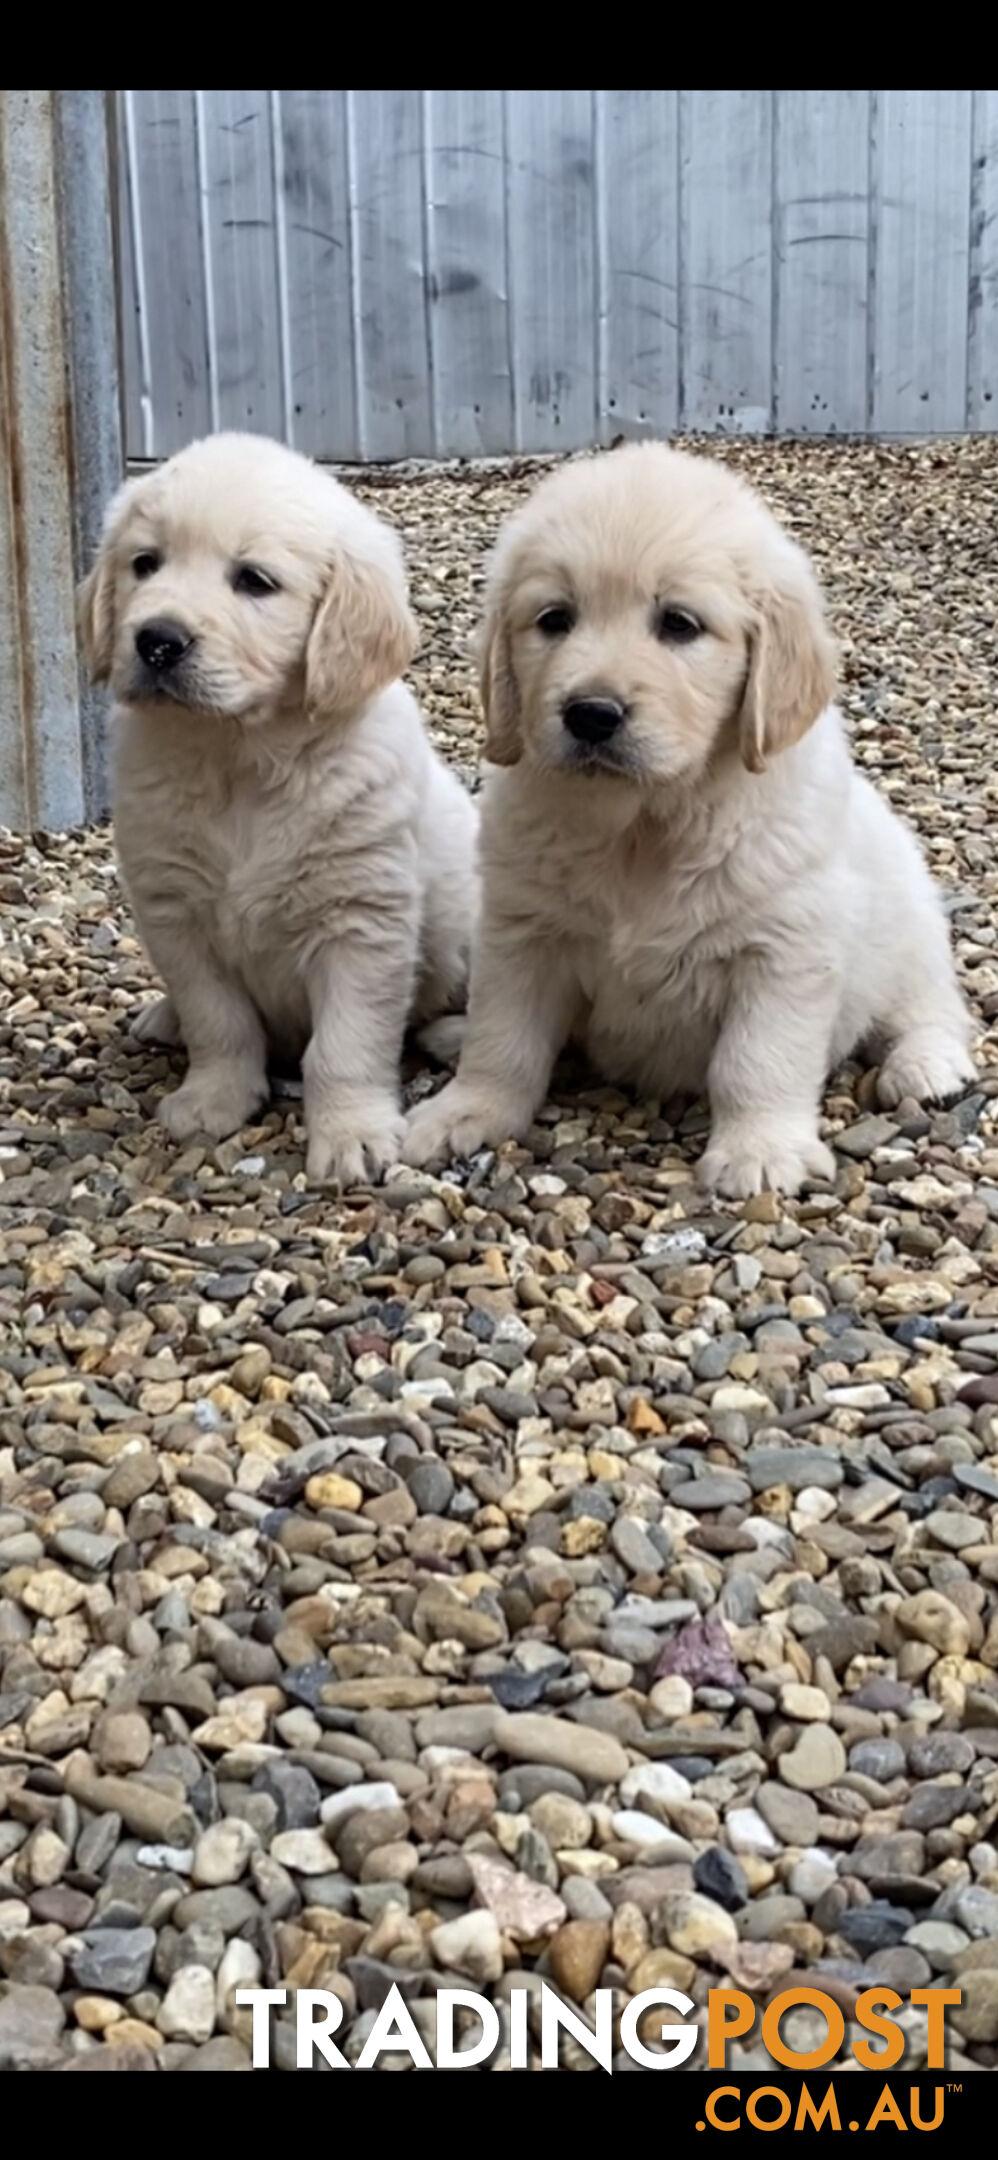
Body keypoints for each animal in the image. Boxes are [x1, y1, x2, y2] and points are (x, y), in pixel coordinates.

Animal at [79, 425, 477, 1183]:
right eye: (145, 563)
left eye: (255, 581)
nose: (156, 640)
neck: (240, 760)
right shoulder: (176, 916)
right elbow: (218, 1021)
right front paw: (213, 1099)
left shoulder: (361, 922)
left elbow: (344, 1046)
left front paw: (352, 1134)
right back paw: (163, 1018)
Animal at [401, 440, 972, 1200]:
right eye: (554, 619)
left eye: (679, 624)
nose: (590, 714)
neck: (644, 825)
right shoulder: (522, 933)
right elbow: (504, 1039)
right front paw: (465, 1111)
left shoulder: (783, 951)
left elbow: (756, 1060)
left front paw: (761, 1150)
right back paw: (450, 1034)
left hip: (909, 928)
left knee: (929, 1007)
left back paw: (927, 1067)